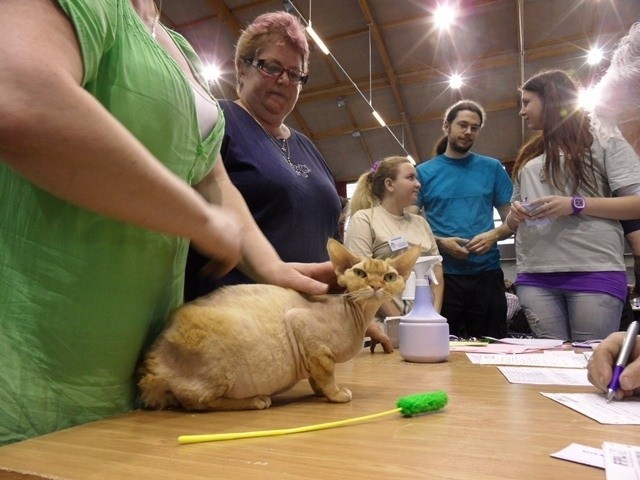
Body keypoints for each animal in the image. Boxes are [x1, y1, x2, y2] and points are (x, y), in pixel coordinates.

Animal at [138, 238, 420, 410]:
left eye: (390, 276)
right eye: (360, 273)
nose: (376, 286)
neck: (356, 315)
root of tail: (151, 365)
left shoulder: (314, 354)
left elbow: (317, 377)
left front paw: (320, 391)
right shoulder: (304, 330)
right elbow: (326, 374)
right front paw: (335, 393)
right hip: (216, 370)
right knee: (198, 402)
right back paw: (254, 401)